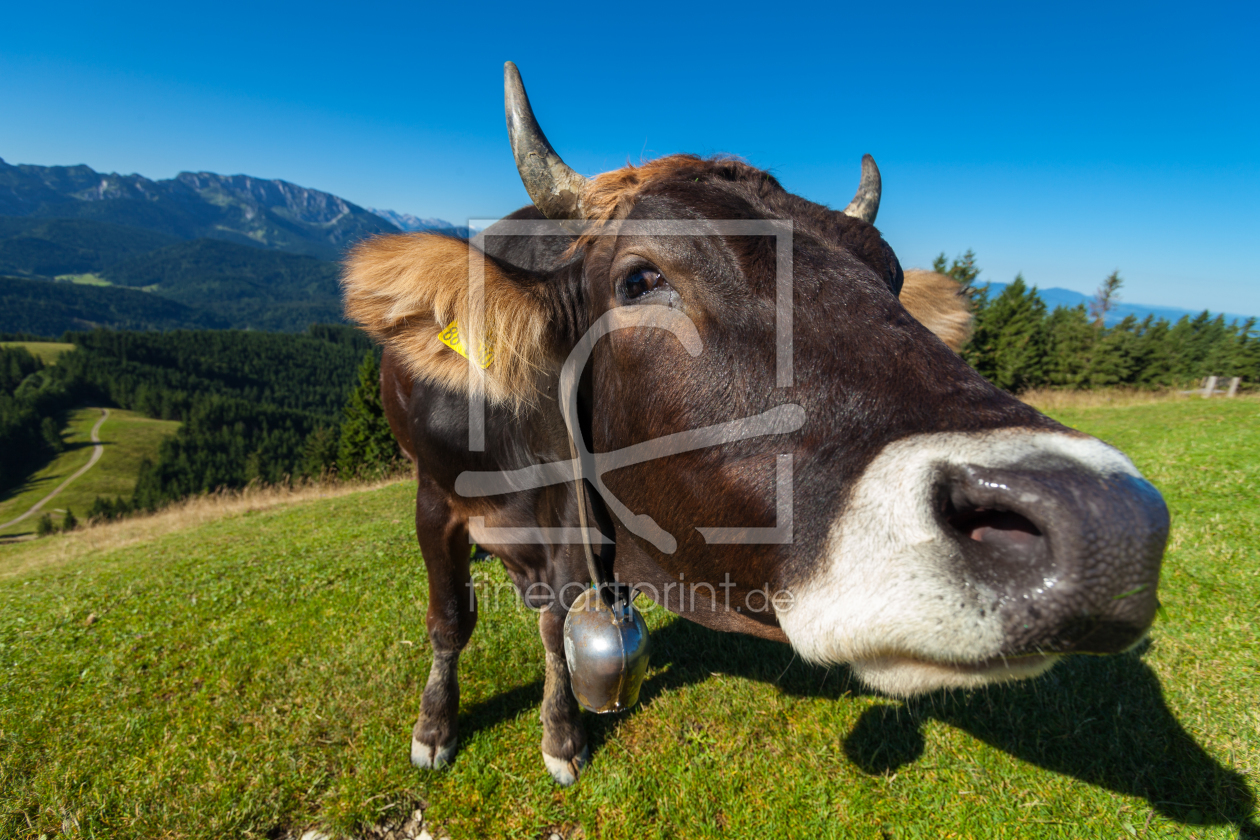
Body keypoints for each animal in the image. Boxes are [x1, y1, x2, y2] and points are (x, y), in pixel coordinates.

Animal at [340, 60, 1164, 790]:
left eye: (892, 278)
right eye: (642, 278)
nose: (1105, 524)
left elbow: (554, 629)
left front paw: (561, 735)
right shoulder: (435, 499)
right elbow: (450, 621)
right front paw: (435, 731)